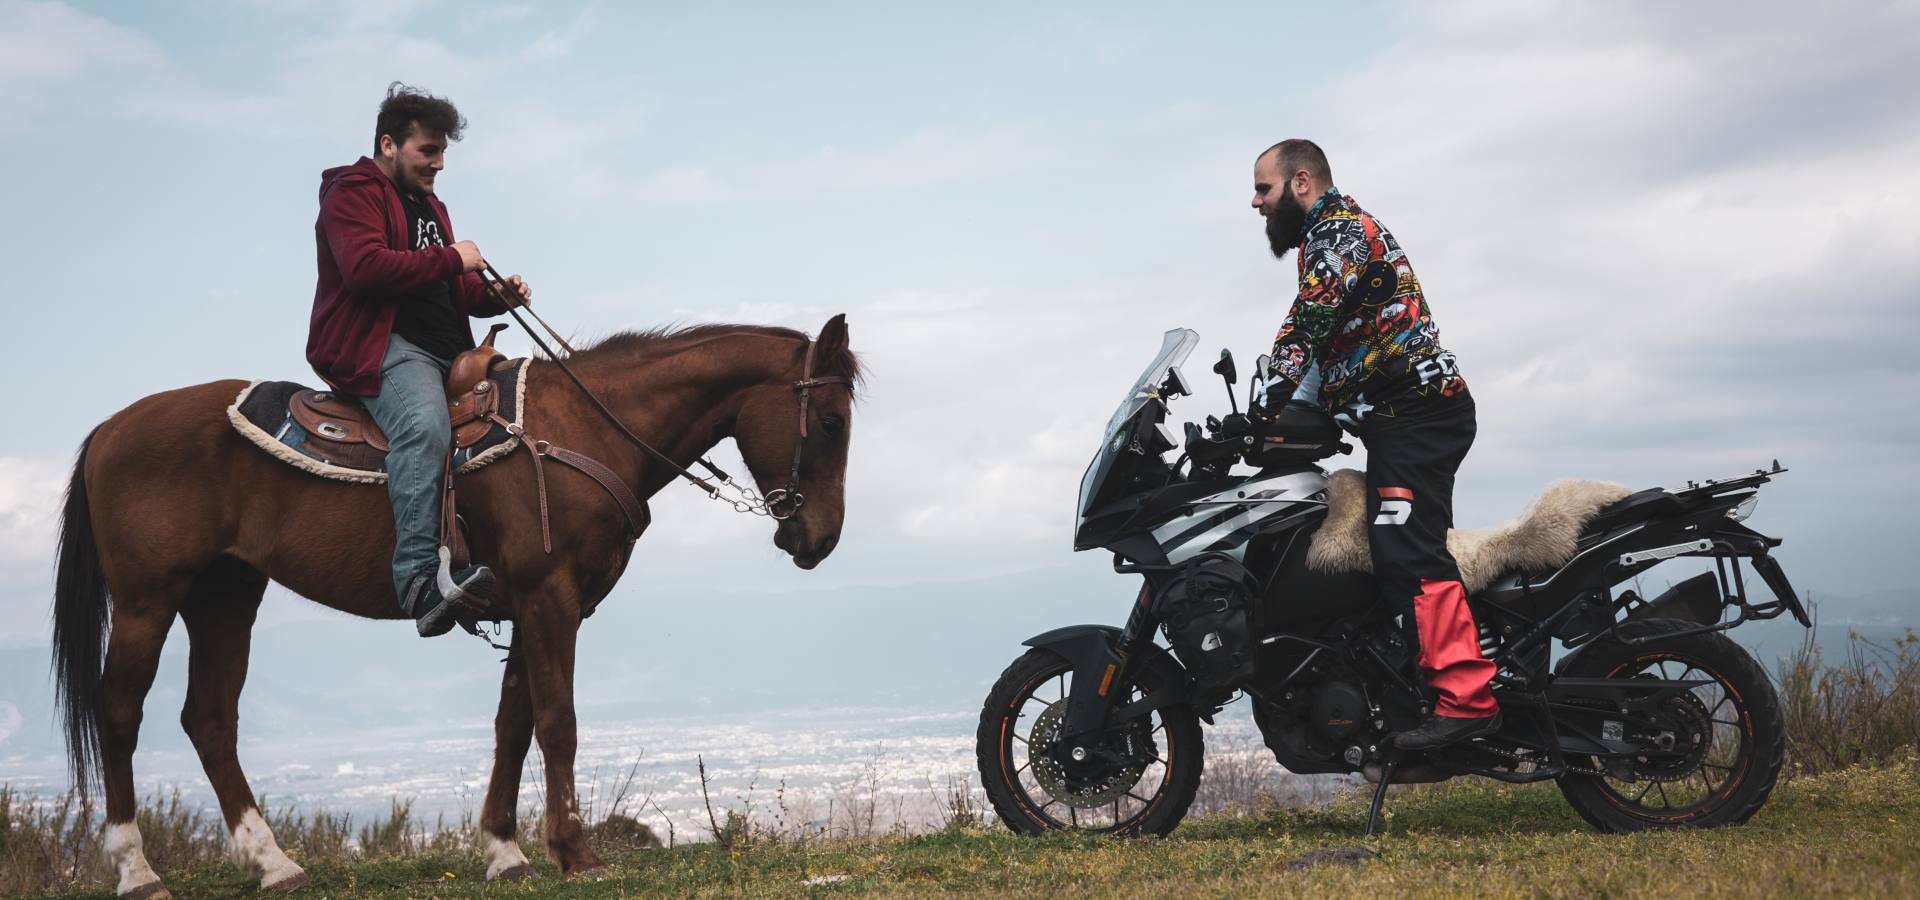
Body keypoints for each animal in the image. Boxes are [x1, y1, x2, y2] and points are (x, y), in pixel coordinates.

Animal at [52, 314, 864, 890]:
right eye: (830, 423)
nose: (819, 538)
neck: (584, 427)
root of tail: (109, 431)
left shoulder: (534, 604)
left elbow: (514, 725)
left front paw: (506, 851)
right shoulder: (549, 598)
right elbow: (557, 722)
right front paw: (576, 853)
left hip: (225, 594)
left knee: (210, 719)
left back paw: (274, 863)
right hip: (148, 599)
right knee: (120, 712)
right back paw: (138, 871)